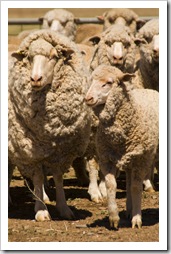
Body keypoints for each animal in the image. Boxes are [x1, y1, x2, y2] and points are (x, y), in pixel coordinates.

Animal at [8, 28, 92, 221]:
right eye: (29, 57)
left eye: (54, 56)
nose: (35, 79)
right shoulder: (31, 150)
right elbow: (38, 176)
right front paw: (41, 210)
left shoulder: (62, 150)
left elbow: (58, 176)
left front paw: (64, 208)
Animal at [84, 65, 159, 228]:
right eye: (91, 80)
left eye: (109, 82)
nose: (88, 98)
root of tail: (150, 90)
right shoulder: (107, 159)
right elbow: (111, 185)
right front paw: (114, 217)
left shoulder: (140, 159)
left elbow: (136, 187)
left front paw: (137, 219)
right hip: (129, 159)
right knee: (129, 182)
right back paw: (129, 209)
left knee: (133, 184)